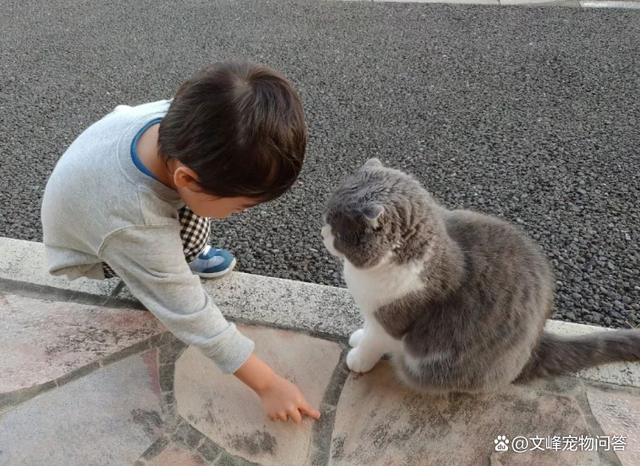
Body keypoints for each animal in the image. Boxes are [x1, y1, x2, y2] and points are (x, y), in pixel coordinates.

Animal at [322, 158, 640, 392]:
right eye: (326, 219)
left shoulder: (392, 320)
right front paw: (358, 336)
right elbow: (367, 329)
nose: (322, 233)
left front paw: (359, 358)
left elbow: (375, 342)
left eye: (337, 230)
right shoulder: (372, 310)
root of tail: (536, 344)